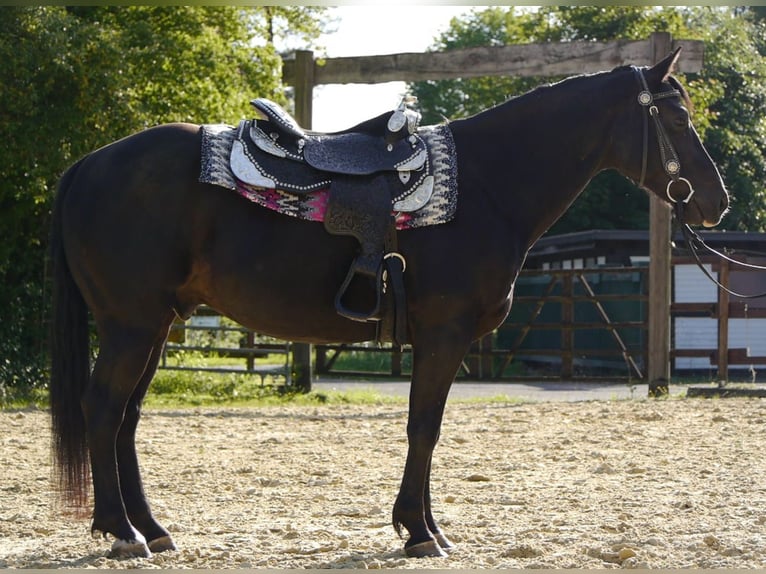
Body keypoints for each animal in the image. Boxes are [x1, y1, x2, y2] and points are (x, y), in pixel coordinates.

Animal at [49, 48, 728, 559]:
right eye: (677, 119)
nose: (715, 201)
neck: (486, 185)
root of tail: (87, 165)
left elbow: (426, 426)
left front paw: (424, 526)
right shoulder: (445, 334)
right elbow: (424, 427)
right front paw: (421, 532)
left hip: (154, 326)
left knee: (127, 417)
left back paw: (152, 528)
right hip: (132, 325)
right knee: (104, 408)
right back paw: (124, 534)